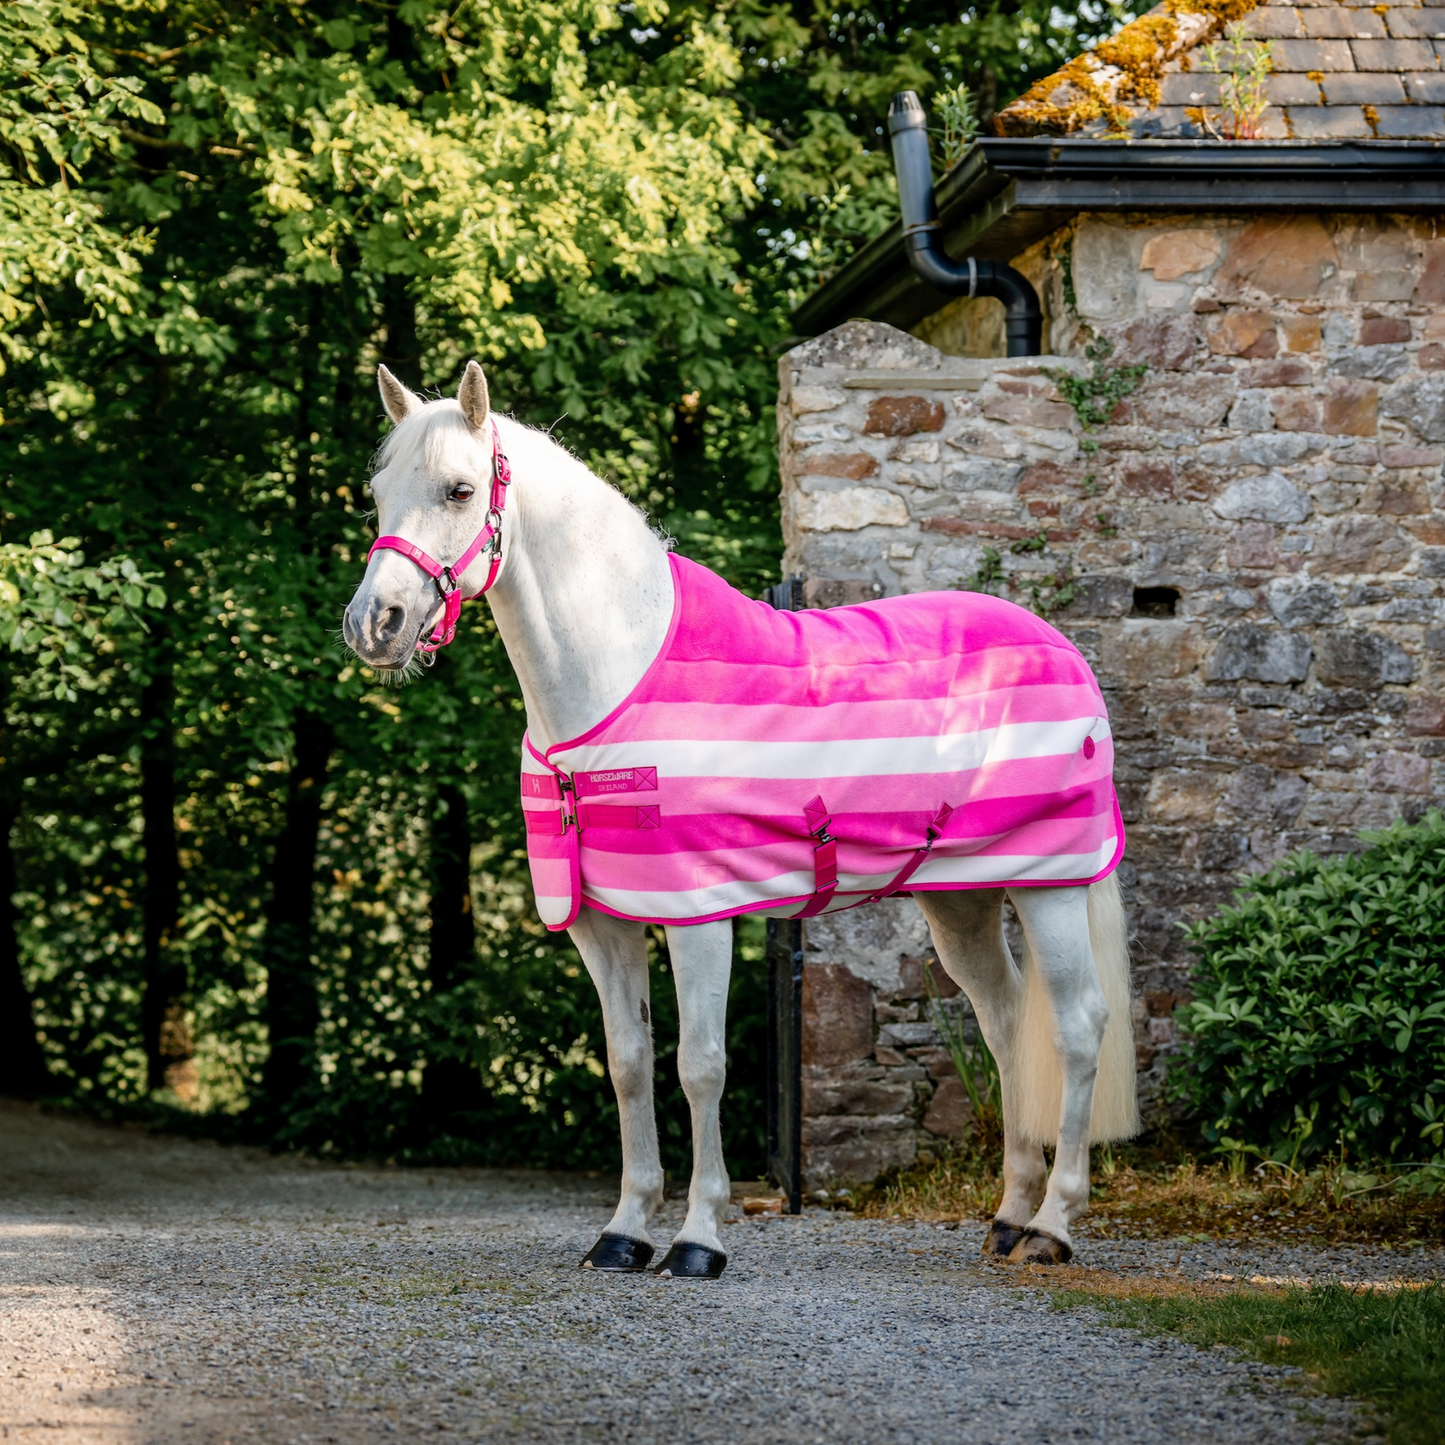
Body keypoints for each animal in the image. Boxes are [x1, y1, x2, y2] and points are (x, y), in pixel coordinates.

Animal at [342, 361, 1139, 1278]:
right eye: (378, 493)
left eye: (460, 489)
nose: (373, 624)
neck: (615, 680)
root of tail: (1060, 647)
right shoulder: (601, 924)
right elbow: (627, 1063)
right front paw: (623, 1231)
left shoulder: (699, 916)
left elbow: (700, 1066)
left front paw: (698, 1238)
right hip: (961, 898)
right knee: (1006, 1021)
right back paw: (1007, 1214)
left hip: (1050, 885)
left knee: (1076, 1027)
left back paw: (1052, 1225)